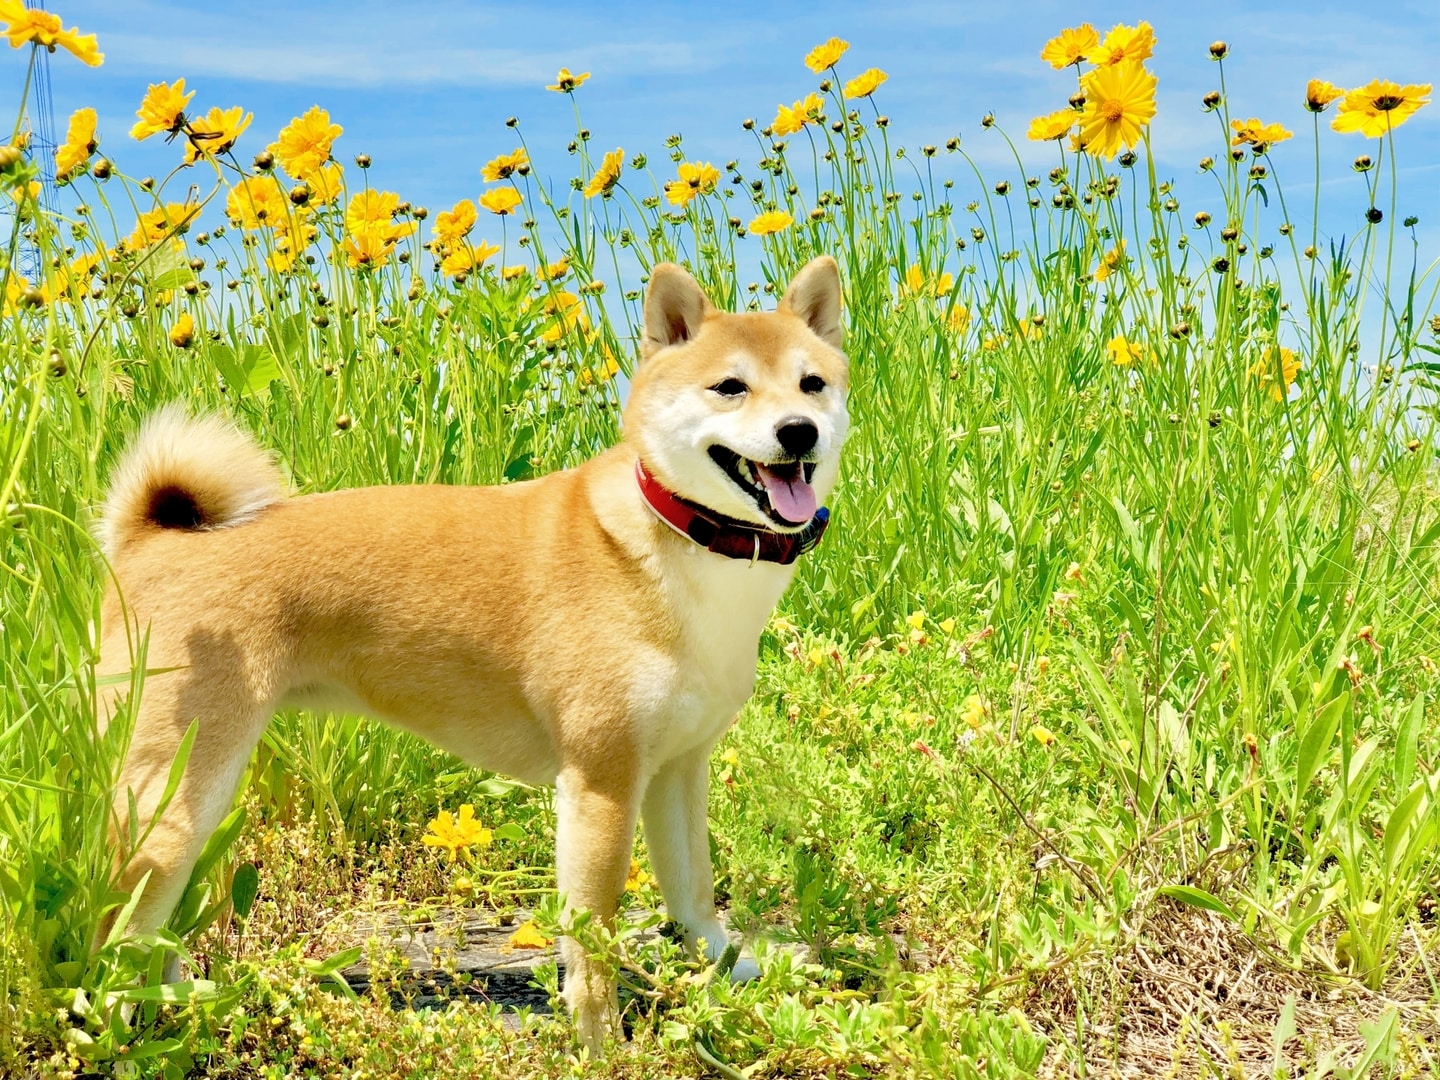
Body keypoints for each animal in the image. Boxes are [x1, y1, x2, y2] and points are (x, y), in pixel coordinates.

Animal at [98, 257, 840, 1054]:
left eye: (811, 384)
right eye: (730, 387)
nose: (798, 431)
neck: (680, 542)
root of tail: (150, 540)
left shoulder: (676, 767)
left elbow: (693, 892)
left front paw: (732, 972)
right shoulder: (602, 782)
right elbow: (593, 936)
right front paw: (600, 1039)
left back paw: (181, 1005)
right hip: (176, 799)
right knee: (116, 928)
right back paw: (119, 1025)